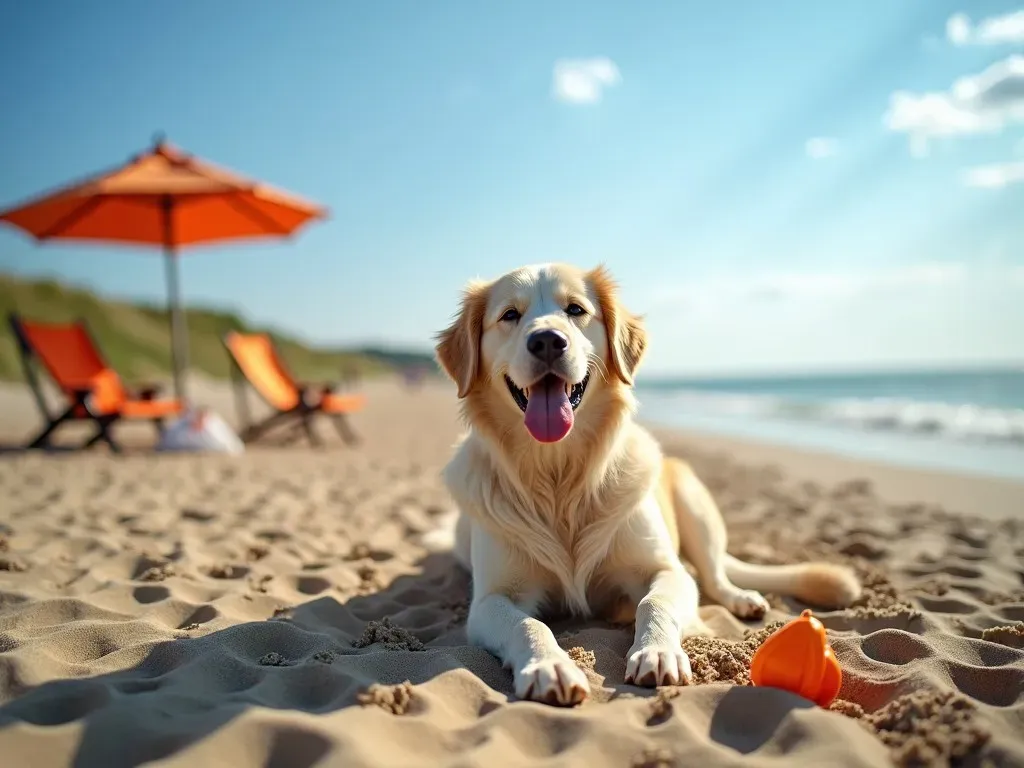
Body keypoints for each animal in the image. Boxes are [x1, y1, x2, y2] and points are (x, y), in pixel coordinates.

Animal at [434, 262, 864, 708]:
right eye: (509, 316)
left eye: (575, 309)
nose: (548, 341)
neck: (560, 475)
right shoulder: (490, 599)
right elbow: (527, 624)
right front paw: (549, 665)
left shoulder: (665, 569)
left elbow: (653, 602)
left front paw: (656, 652)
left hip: (694, 504)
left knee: (715, 575)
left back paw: (742, 599)